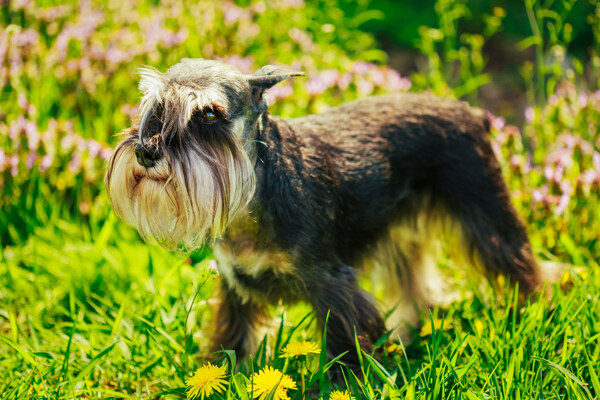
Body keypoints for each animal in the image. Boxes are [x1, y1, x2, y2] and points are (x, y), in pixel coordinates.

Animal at [104, 58, 544, 368]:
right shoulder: (235, 287)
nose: (146, 151)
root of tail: (473, 113)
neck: (255, 193)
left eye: (209, 114)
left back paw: (532, 314)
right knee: (413, 285)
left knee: (519, 264)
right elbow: (233, 341)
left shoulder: (332, 285)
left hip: (486, 217)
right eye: (154, 106)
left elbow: (342, 347)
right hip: (400, 233)